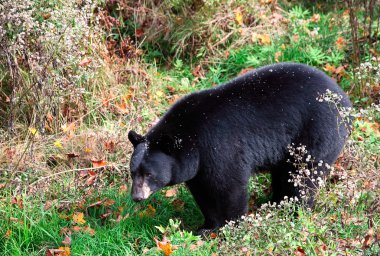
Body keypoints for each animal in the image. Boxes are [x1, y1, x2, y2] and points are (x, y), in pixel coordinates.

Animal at [128, 62, 354, 232]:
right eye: (133, 172)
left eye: (149, 174)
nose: (136, 197)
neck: (192, 139)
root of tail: (344, 98)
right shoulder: (198, 166)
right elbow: (203, 192)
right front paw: (206, 227)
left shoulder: (219, 147)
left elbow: (229, 186)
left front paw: (231, 225)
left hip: (317, 131)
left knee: (304, 175)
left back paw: (292, 210)